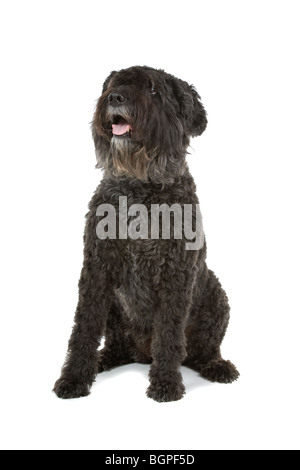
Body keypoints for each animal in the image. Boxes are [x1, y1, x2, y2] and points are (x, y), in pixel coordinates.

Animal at [54, 66, 239, 402]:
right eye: (113, 84)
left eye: (152, 88)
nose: (115, 97)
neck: (140, 186)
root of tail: (140, 354)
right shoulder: (96, 272)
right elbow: (84, 328)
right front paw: (74, 377)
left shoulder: (176, 276)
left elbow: (168, 333)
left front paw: (165, 383)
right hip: (115, 309)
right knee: (116, 344)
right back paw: (101, 360)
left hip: (216, 295)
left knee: (202, 349)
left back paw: (216, 366)